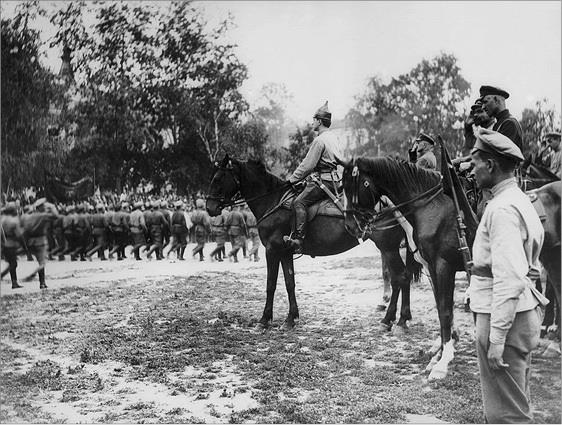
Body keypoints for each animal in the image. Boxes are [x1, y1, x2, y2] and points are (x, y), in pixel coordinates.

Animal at [203, 156, 418, 332]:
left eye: (218, 178)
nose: (209, 207)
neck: (273, 201)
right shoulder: (285, 253)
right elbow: (289, 283)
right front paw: (291, 318)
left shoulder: (272, 251)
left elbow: (271, 284)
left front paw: (264, 320)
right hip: (389, 248)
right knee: (401, 278)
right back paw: (399, 318)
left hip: (388, 247)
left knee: (400, 277)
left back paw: (393, 320)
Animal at [340, 157, 474, 380]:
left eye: (355, 186)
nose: (350, 225)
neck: (433, 207)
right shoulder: (431, 266)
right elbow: (441, 307)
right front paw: (441, 350)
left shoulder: (443, 266)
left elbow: (445, 310)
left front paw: (443, 361)